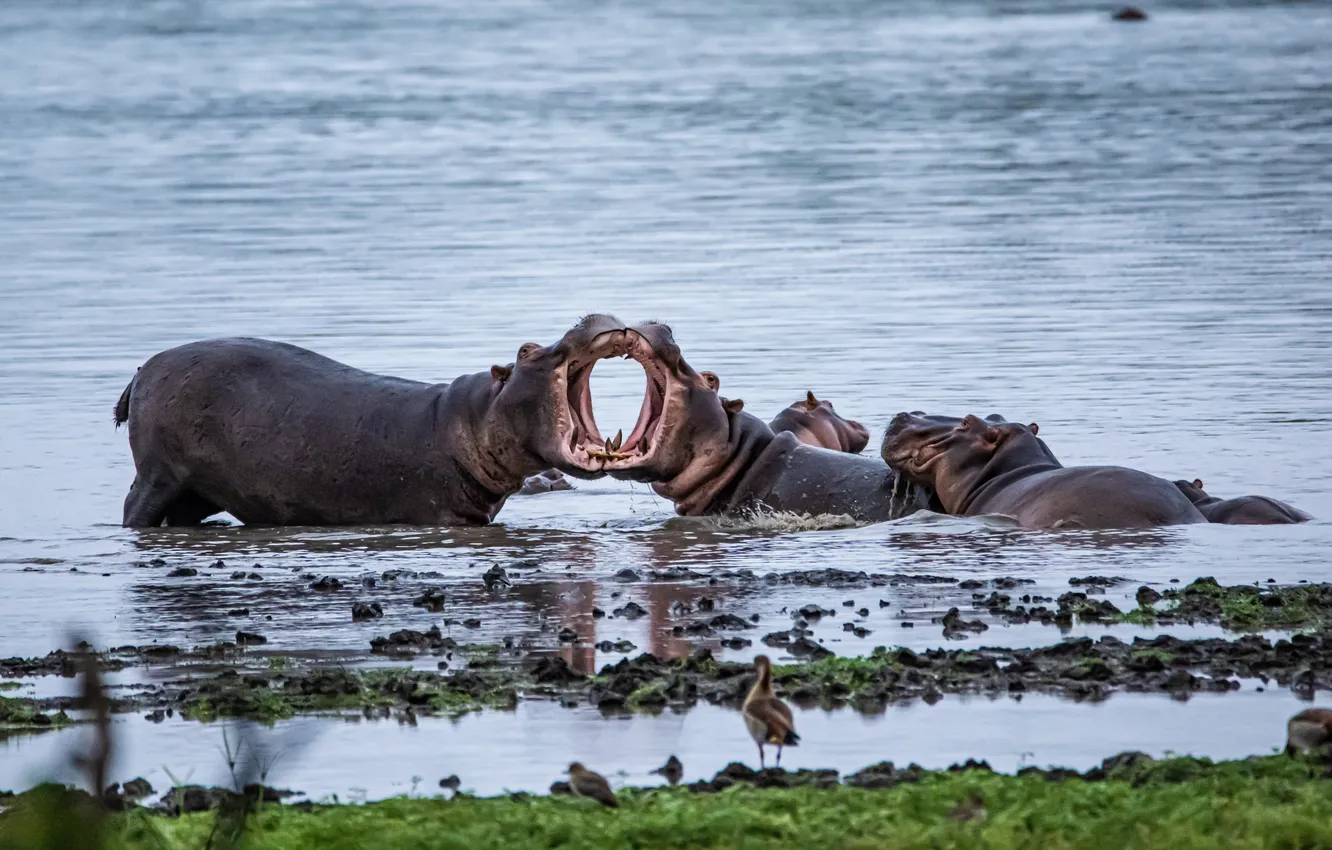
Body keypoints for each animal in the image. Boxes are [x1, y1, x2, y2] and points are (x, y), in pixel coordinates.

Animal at [114, 314, 655, 527]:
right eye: (526, 349)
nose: (590, 317)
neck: (474, 416)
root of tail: (141, 369)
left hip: (197, 492)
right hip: (159, 473)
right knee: (135, 506)